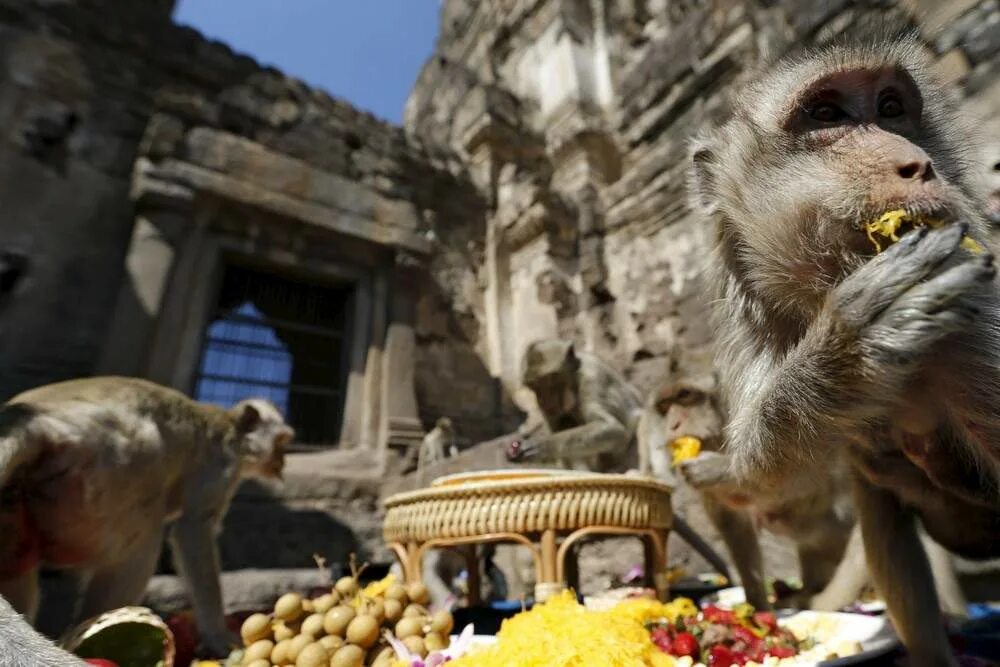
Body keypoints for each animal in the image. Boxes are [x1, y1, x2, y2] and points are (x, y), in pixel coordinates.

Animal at [0, 376, 294, 656]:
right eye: (281, 441)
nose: (282, 461)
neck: (230, 426)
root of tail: (36, 425)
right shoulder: (223, 465)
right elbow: (193, 528)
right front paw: (219, 637)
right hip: (105, 476)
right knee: (144, 539)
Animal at [692, 26, 1000, 667]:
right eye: (826, 114)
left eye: (890, 107)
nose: (918, 165)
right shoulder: (757, 319)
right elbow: (763, 482)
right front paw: (849, 353)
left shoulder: (975, 311)